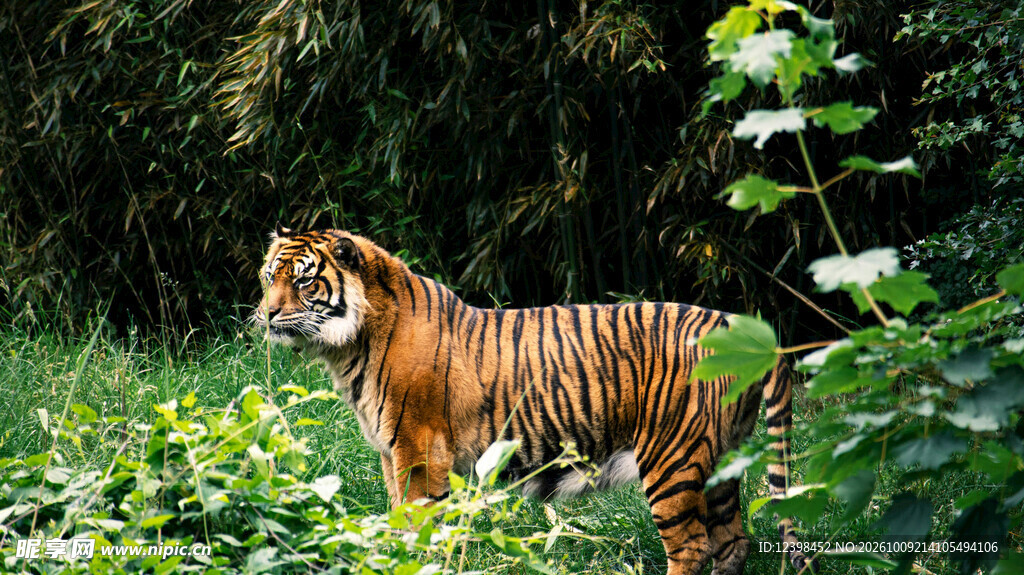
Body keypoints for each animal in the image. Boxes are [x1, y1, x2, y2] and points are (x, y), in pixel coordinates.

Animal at [253, 226, 815, 575]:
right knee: (733, 542)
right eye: (268, 277)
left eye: (305, 280)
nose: (265, 314)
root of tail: (741, 328)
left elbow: (418, 525)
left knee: (693, 546)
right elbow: (396, 522)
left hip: (672, 456)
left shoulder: (417, 449)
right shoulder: (392, 451)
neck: (351, 344)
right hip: (719, 460)